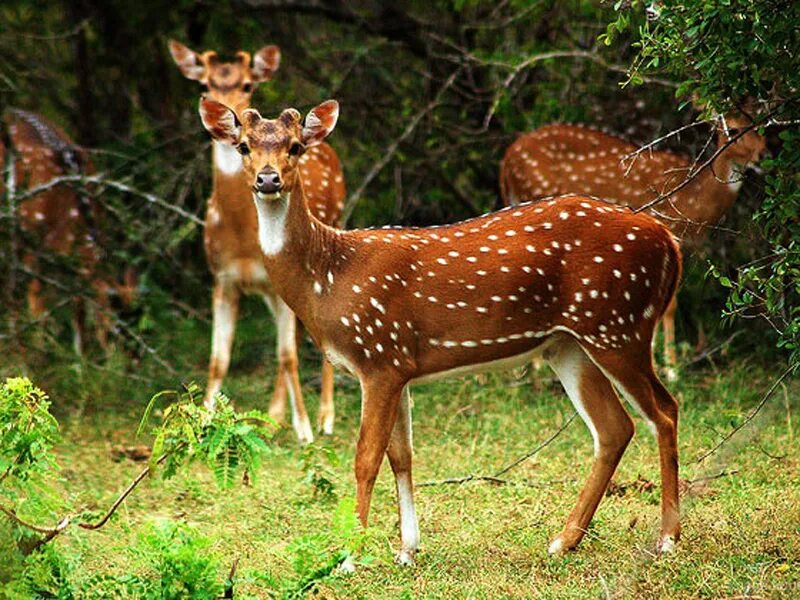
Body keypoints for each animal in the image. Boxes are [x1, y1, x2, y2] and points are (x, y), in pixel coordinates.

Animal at [1, 109, 137, 352]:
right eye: (113, 333)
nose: (128, 363)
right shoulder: (32, 242)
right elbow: (37, 304)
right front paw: (37, 353)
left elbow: (79, 310)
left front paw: (81, 357)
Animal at [167, 38, 346, 440]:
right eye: (205, 85)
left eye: (247, 85)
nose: (267, 178)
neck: (243, 240)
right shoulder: (222, 278)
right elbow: (219, 360)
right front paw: (204, 419)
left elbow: (287, 355)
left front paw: (305, 430)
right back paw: (274, 415)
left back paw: (325, 417)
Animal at [198, 97, 680, 564]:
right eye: (244, 146)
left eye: (296, 146)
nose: (268, 179)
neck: (328, 277)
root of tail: (670, 242)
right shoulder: (399, 365)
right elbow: (402, 456)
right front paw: (407, 549)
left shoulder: (378, 356)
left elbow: (366, 459)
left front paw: (349, 555)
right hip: (570, 343)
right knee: (614, 428)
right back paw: (564, 541)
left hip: (618, 324)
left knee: (664, 410)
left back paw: (667, 539)